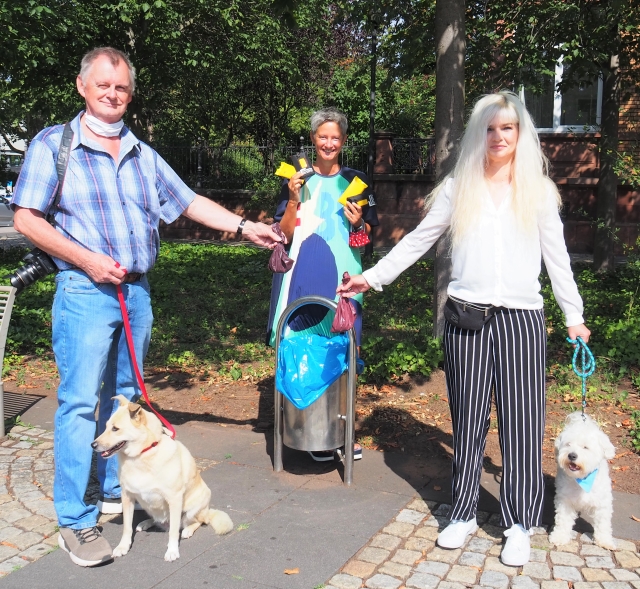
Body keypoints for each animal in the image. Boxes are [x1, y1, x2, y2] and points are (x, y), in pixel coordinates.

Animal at [91, 396, 234, 560]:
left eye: (115, 429)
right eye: (106, 427)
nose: (92, 445)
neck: (142, 455)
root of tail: (208, 510)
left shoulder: (174, 498)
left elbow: (173, 531)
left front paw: (172, 551)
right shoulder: (127, 496)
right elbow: (127, 527)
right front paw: (123, 547)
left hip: (194, 506)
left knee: (198, 521)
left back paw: (187, 530)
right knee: (159, 520)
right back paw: (146, 523)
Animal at [548, 412, 616, 548]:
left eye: (585, 447)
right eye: (568, 444)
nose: (572, 455)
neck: (582, 479)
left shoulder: (602, 503)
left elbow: (603, 523)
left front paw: (605, 540)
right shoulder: (565, 501)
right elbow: (563, 520)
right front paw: (559, 537)